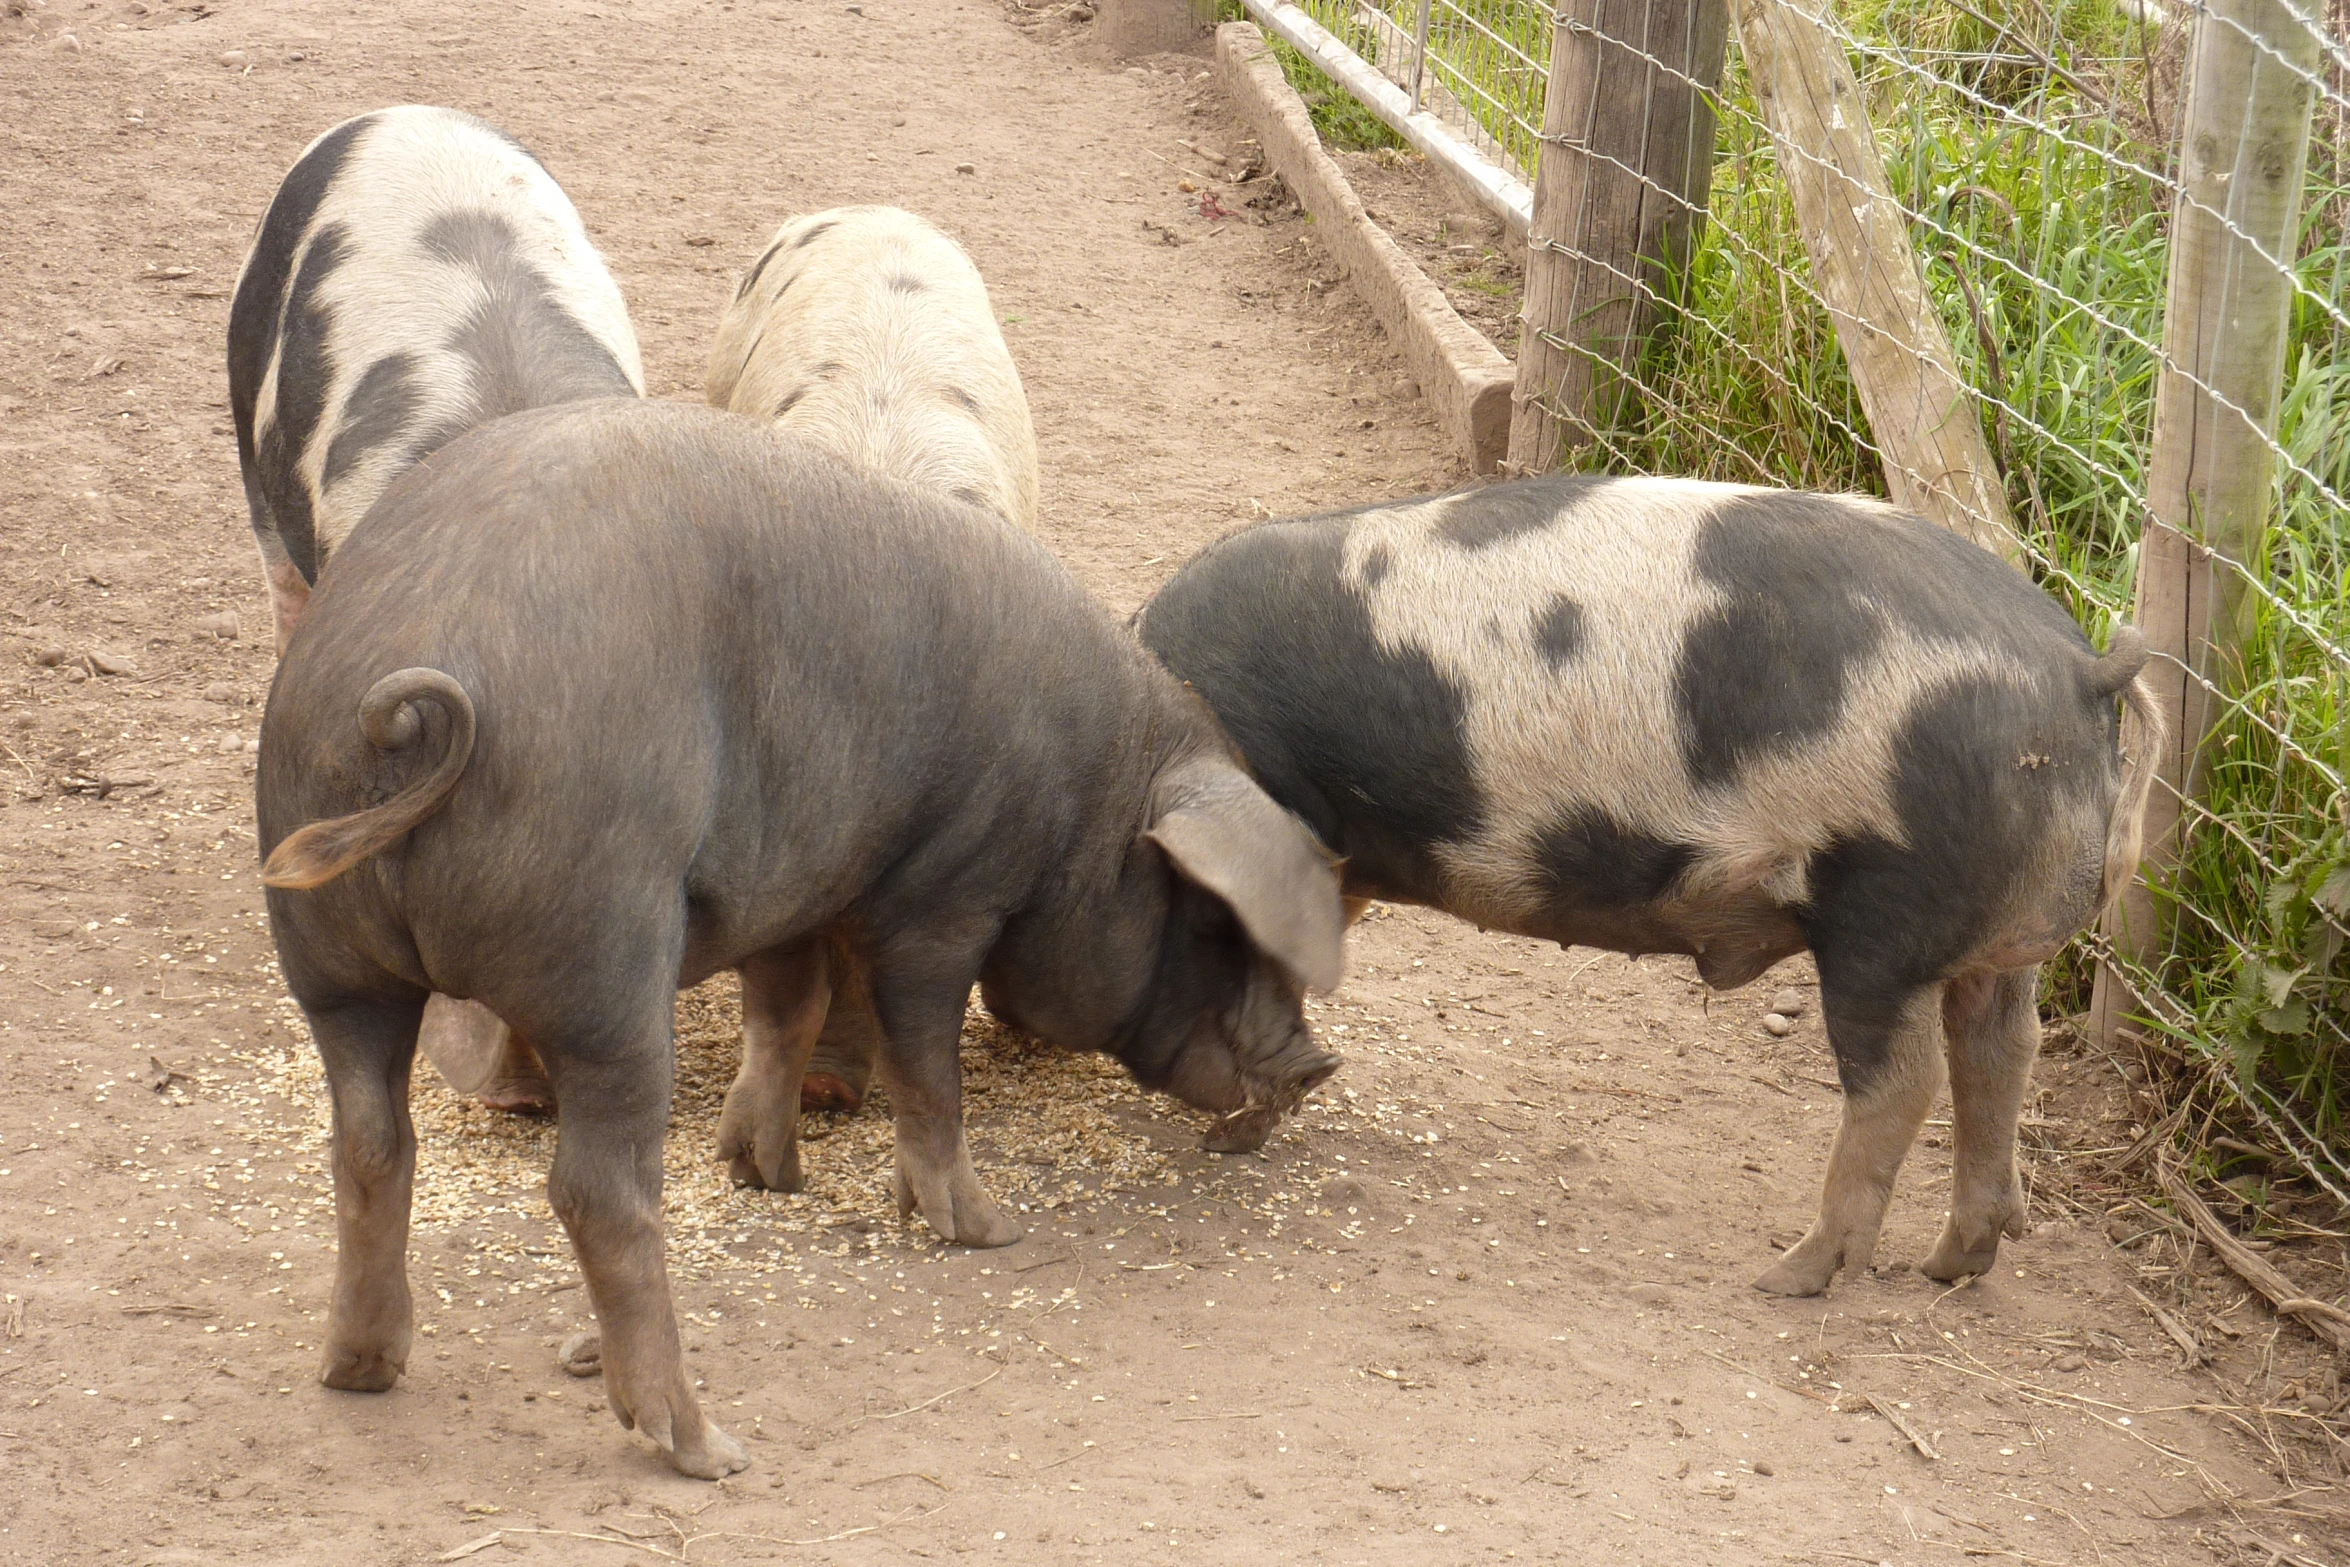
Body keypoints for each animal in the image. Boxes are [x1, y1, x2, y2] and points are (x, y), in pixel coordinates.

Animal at [257, 399, 1344, 1475]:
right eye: (1211, 920)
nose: (1316, 1063)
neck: (1094, 798)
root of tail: (408, 702)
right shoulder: (945, 899)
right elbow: (926, 1066)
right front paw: (988, 1229)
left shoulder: (787, 888)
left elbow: (787, 1011)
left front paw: (769, 1173)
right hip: (605, 966)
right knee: (597, 1191)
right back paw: (708, 1447)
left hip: (328, 961)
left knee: (370, 1141)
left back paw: (358, 1370)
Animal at [1137, 479, 2162, 1296]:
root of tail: (2081, 669)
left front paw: (1226, 1141)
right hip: (1990, 938)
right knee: (2003, 1049)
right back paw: (1953, 1264)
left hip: (1882, 915)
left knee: (1903, 1082)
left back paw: (1788, 1277)